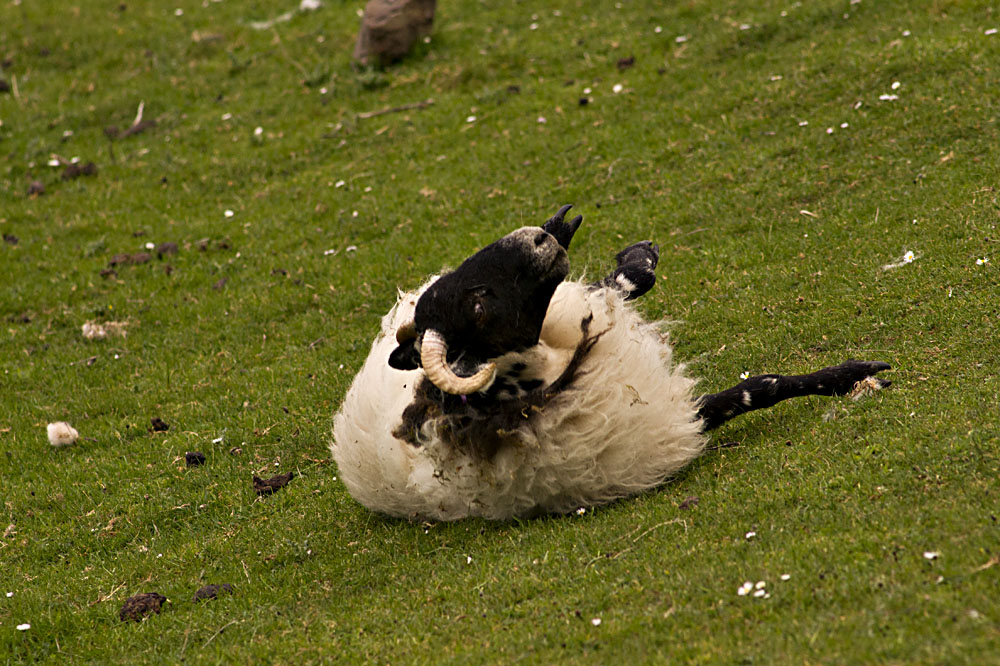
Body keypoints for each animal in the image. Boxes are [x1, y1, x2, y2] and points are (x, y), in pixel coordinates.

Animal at [331, 205, 891, 521]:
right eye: (477, 306)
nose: (539, 237)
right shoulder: (681, 418)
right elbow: (761, 388)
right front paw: (853, 376)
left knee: (615, 286)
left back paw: (634, 255)